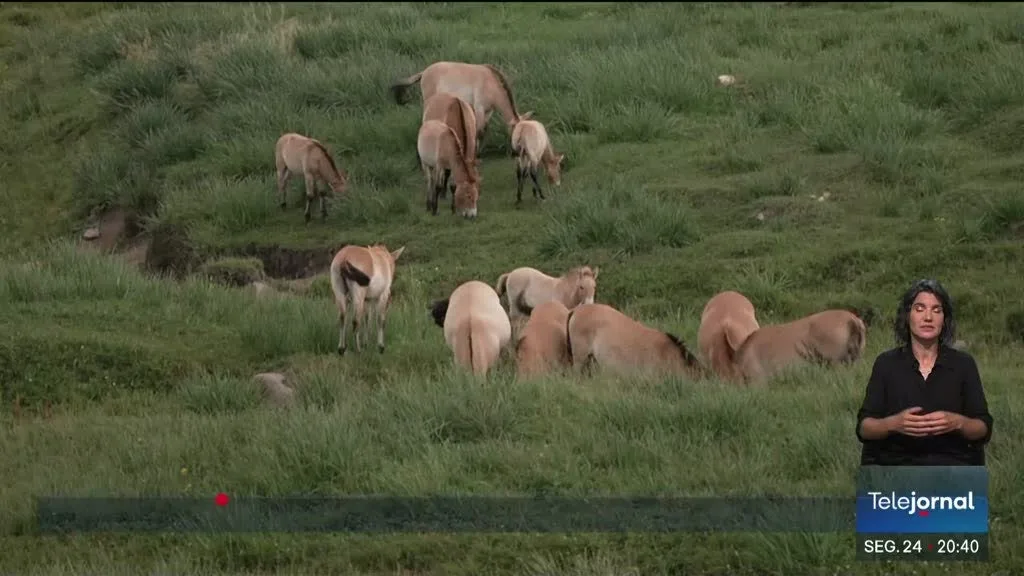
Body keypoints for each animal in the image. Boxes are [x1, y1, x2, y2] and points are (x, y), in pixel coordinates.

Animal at [391, 61, 533, 143]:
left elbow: (484, 130)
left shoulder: (489, 111)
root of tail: (424, 72)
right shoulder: (479, 108)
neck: (491, 84)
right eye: (518, 134)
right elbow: (478, 132)